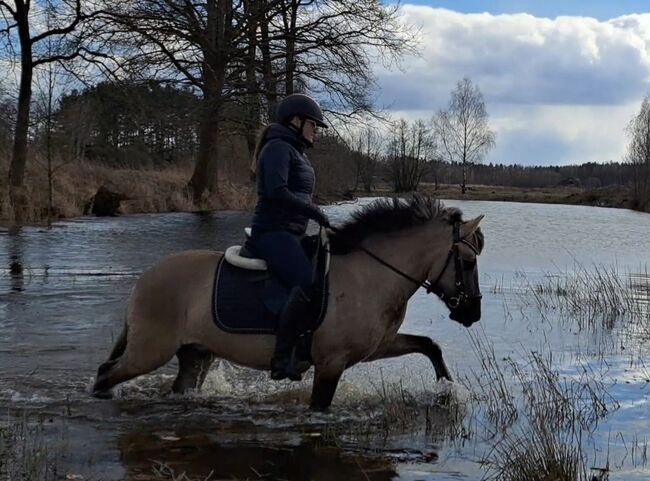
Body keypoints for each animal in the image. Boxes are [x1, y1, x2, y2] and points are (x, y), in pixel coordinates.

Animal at [93, 195, 484, 408]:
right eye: (467, 261)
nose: (473, 312)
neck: (370, 273)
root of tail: (146, 278)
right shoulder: (330, 363)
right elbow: (320, 407)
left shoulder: (377, 346)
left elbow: (429, 345)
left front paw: (447, 391)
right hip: (150, 350)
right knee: (105, 374)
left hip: (195, 354)